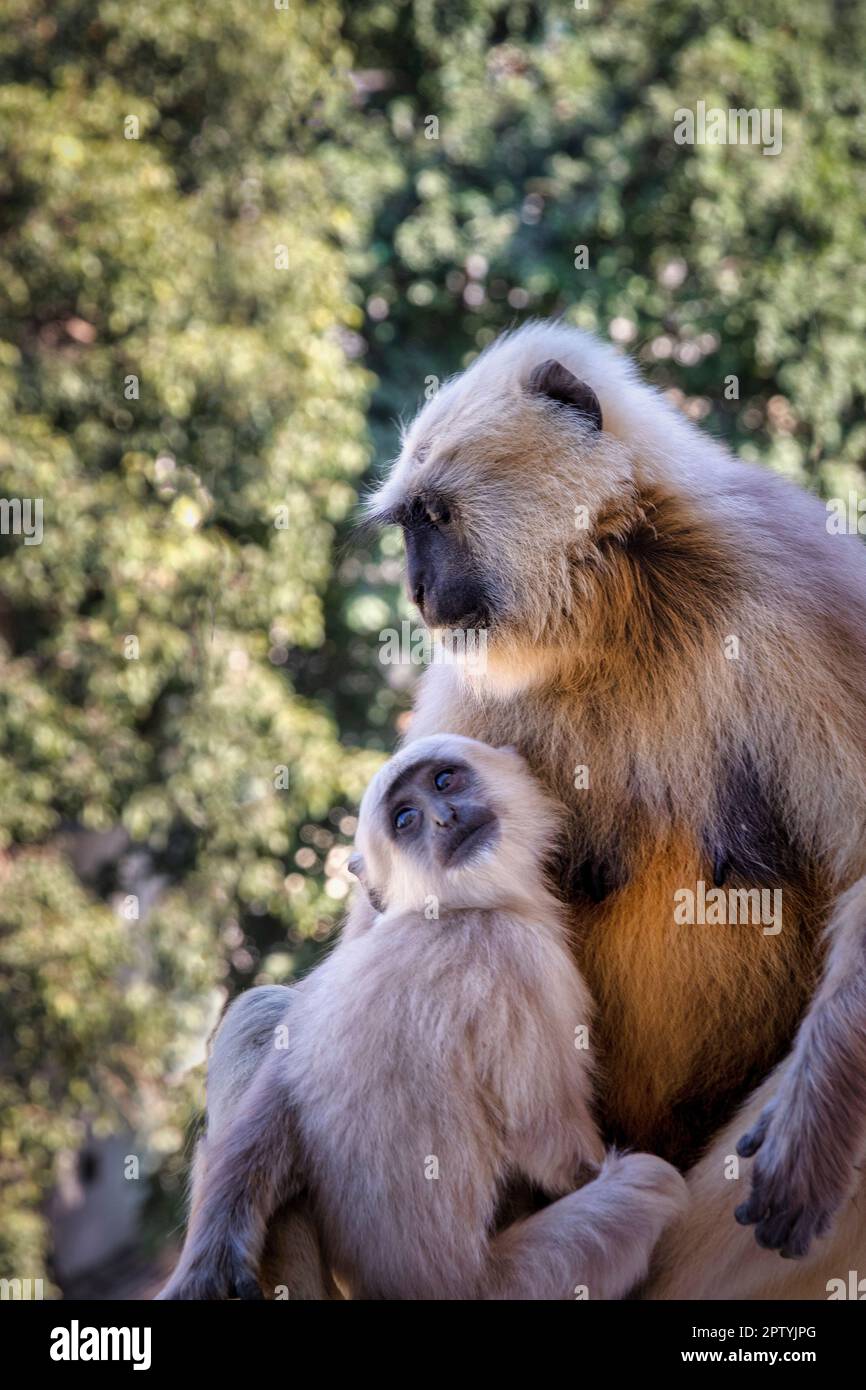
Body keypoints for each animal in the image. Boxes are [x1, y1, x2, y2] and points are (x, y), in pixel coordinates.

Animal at [159, 735, 687, 1300]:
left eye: (444, 781)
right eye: (407, 819)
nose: (444, 817)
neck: (453, 912)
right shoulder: (521, 955)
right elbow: (550, 1146)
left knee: (259, 1010)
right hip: (519, 1279)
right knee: (649, 1181)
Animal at [357, 320, 866, 1282]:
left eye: (432, 518)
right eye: (407, 525)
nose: (416, 592)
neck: (620, 599)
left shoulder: (796, 581)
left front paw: (816, 1127)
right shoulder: (479, 680)